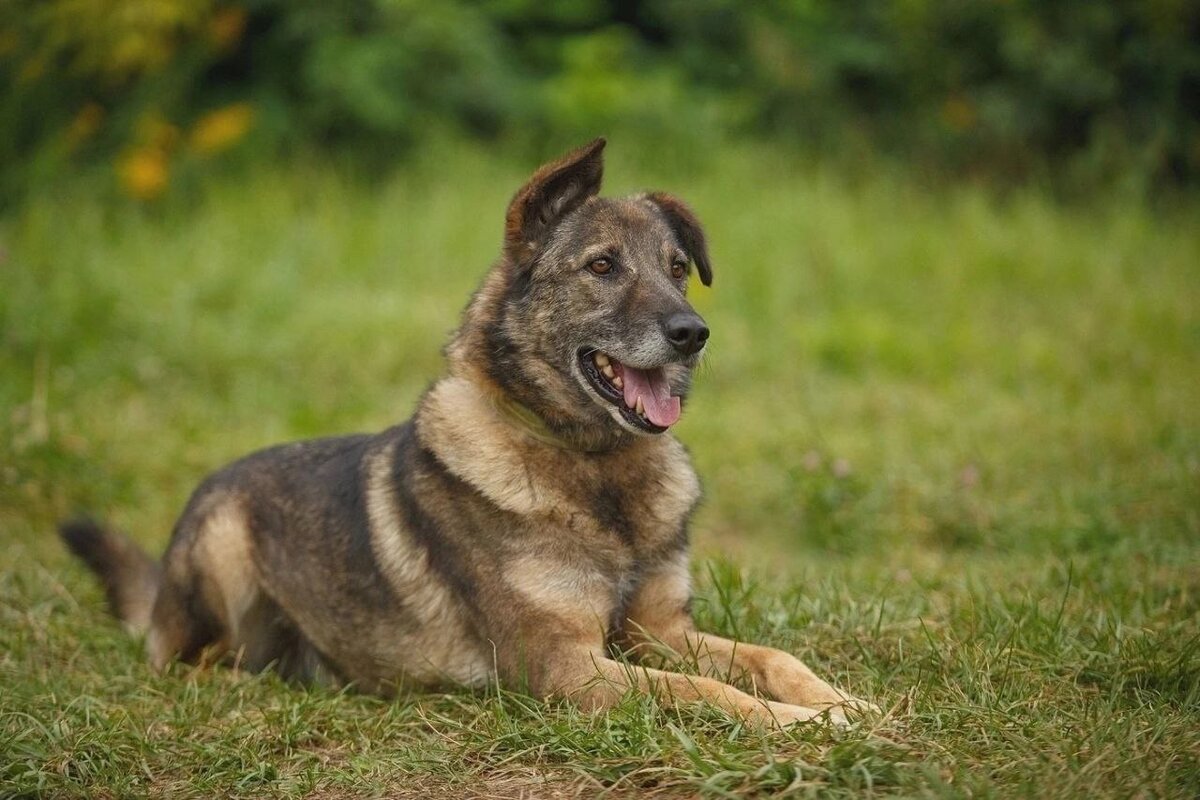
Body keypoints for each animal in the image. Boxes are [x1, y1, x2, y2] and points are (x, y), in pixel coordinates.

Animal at [63, 140, 873, 729]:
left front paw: (843, 702)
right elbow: (704, 694)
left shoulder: (659, 634)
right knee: (190, 664)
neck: (593, 468)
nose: (692, 334)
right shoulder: (566, 667)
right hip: (223, 555)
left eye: (677, 268)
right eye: (602, 266)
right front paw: (802, 726)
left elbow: (773, 657)